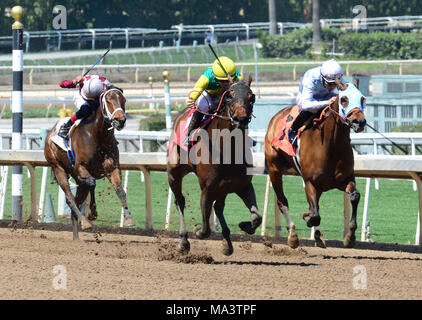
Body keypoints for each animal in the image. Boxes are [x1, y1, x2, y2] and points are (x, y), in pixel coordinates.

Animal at [44, 86, 134, 239]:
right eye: (108, 100)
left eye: (124, 100)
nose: (120, 120)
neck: (99, 136)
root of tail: (50, 133)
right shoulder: (82, 167)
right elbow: (92, 183)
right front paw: (92, 214)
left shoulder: (113, 168)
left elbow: (120, 191)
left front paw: (128, 219)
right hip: (58, 168)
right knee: (70, 198)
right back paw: (84, 221)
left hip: (78, 179)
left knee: (75, 201)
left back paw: (76, 237)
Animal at [167, 76, 260, 256]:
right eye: (229, 96)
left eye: (251, 97)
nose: (240, 119)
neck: (228, 150)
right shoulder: (207, 188)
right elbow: (205, 228)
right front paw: (197, 232)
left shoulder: (243, 185)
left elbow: (256, 217)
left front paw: (244, 226)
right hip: (173, 173)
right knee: (180, 200)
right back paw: (184, 240)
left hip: (223, 187)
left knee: (218, 206)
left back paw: (227, 242)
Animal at [268, 77, 366, 248]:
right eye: (344, 99)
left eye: (362, 99)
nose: (359, 121)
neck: (331, 146)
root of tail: (276, 117)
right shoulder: (310, 182)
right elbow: (314, 216)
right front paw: (307, 218)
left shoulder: (344, 179)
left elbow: (355, 196)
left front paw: (350, 237)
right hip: (274, 169)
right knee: (282, 201)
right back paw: (293, 235)